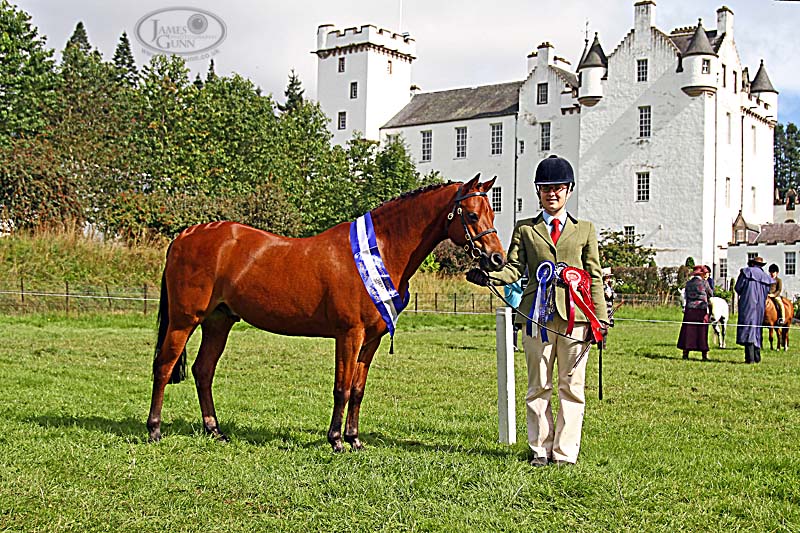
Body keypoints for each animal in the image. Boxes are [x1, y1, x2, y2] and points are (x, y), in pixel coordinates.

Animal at [147, 175, 506, 452]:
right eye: (471, 215)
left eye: (492, 212)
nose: (497, 259)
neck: (380, 250)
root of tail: (184, 236)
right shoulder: (349, 335)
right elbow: (341, 388)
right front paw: (335, 440)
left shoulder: (371, 340)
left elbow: (358, 390)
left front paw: (355, 439)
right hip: (184, 321)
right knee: (164, 367)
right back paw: (154, 430)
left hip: (218, 322)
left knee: (203, 370)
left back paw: (214, 430)